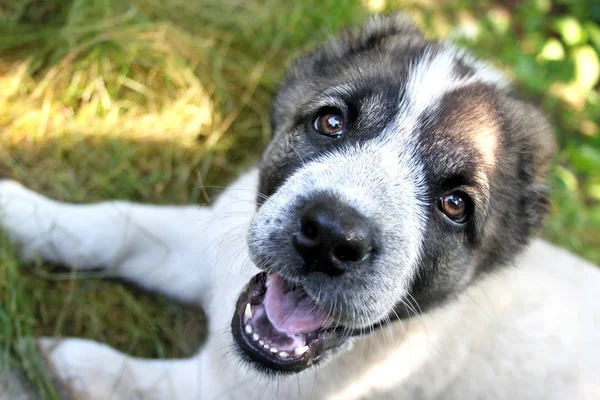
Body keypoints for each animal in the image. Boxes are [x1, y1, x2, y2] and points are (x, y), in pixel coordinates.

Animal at [1, 13, 600, 400]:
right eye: (331, 121)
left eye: (455, 204)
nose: (331, 237)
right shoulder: (208, 243)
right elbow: (116, 225)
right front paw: (20, 211)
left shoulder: (228, 392)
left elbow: (138, 380)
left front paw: (67, 363)